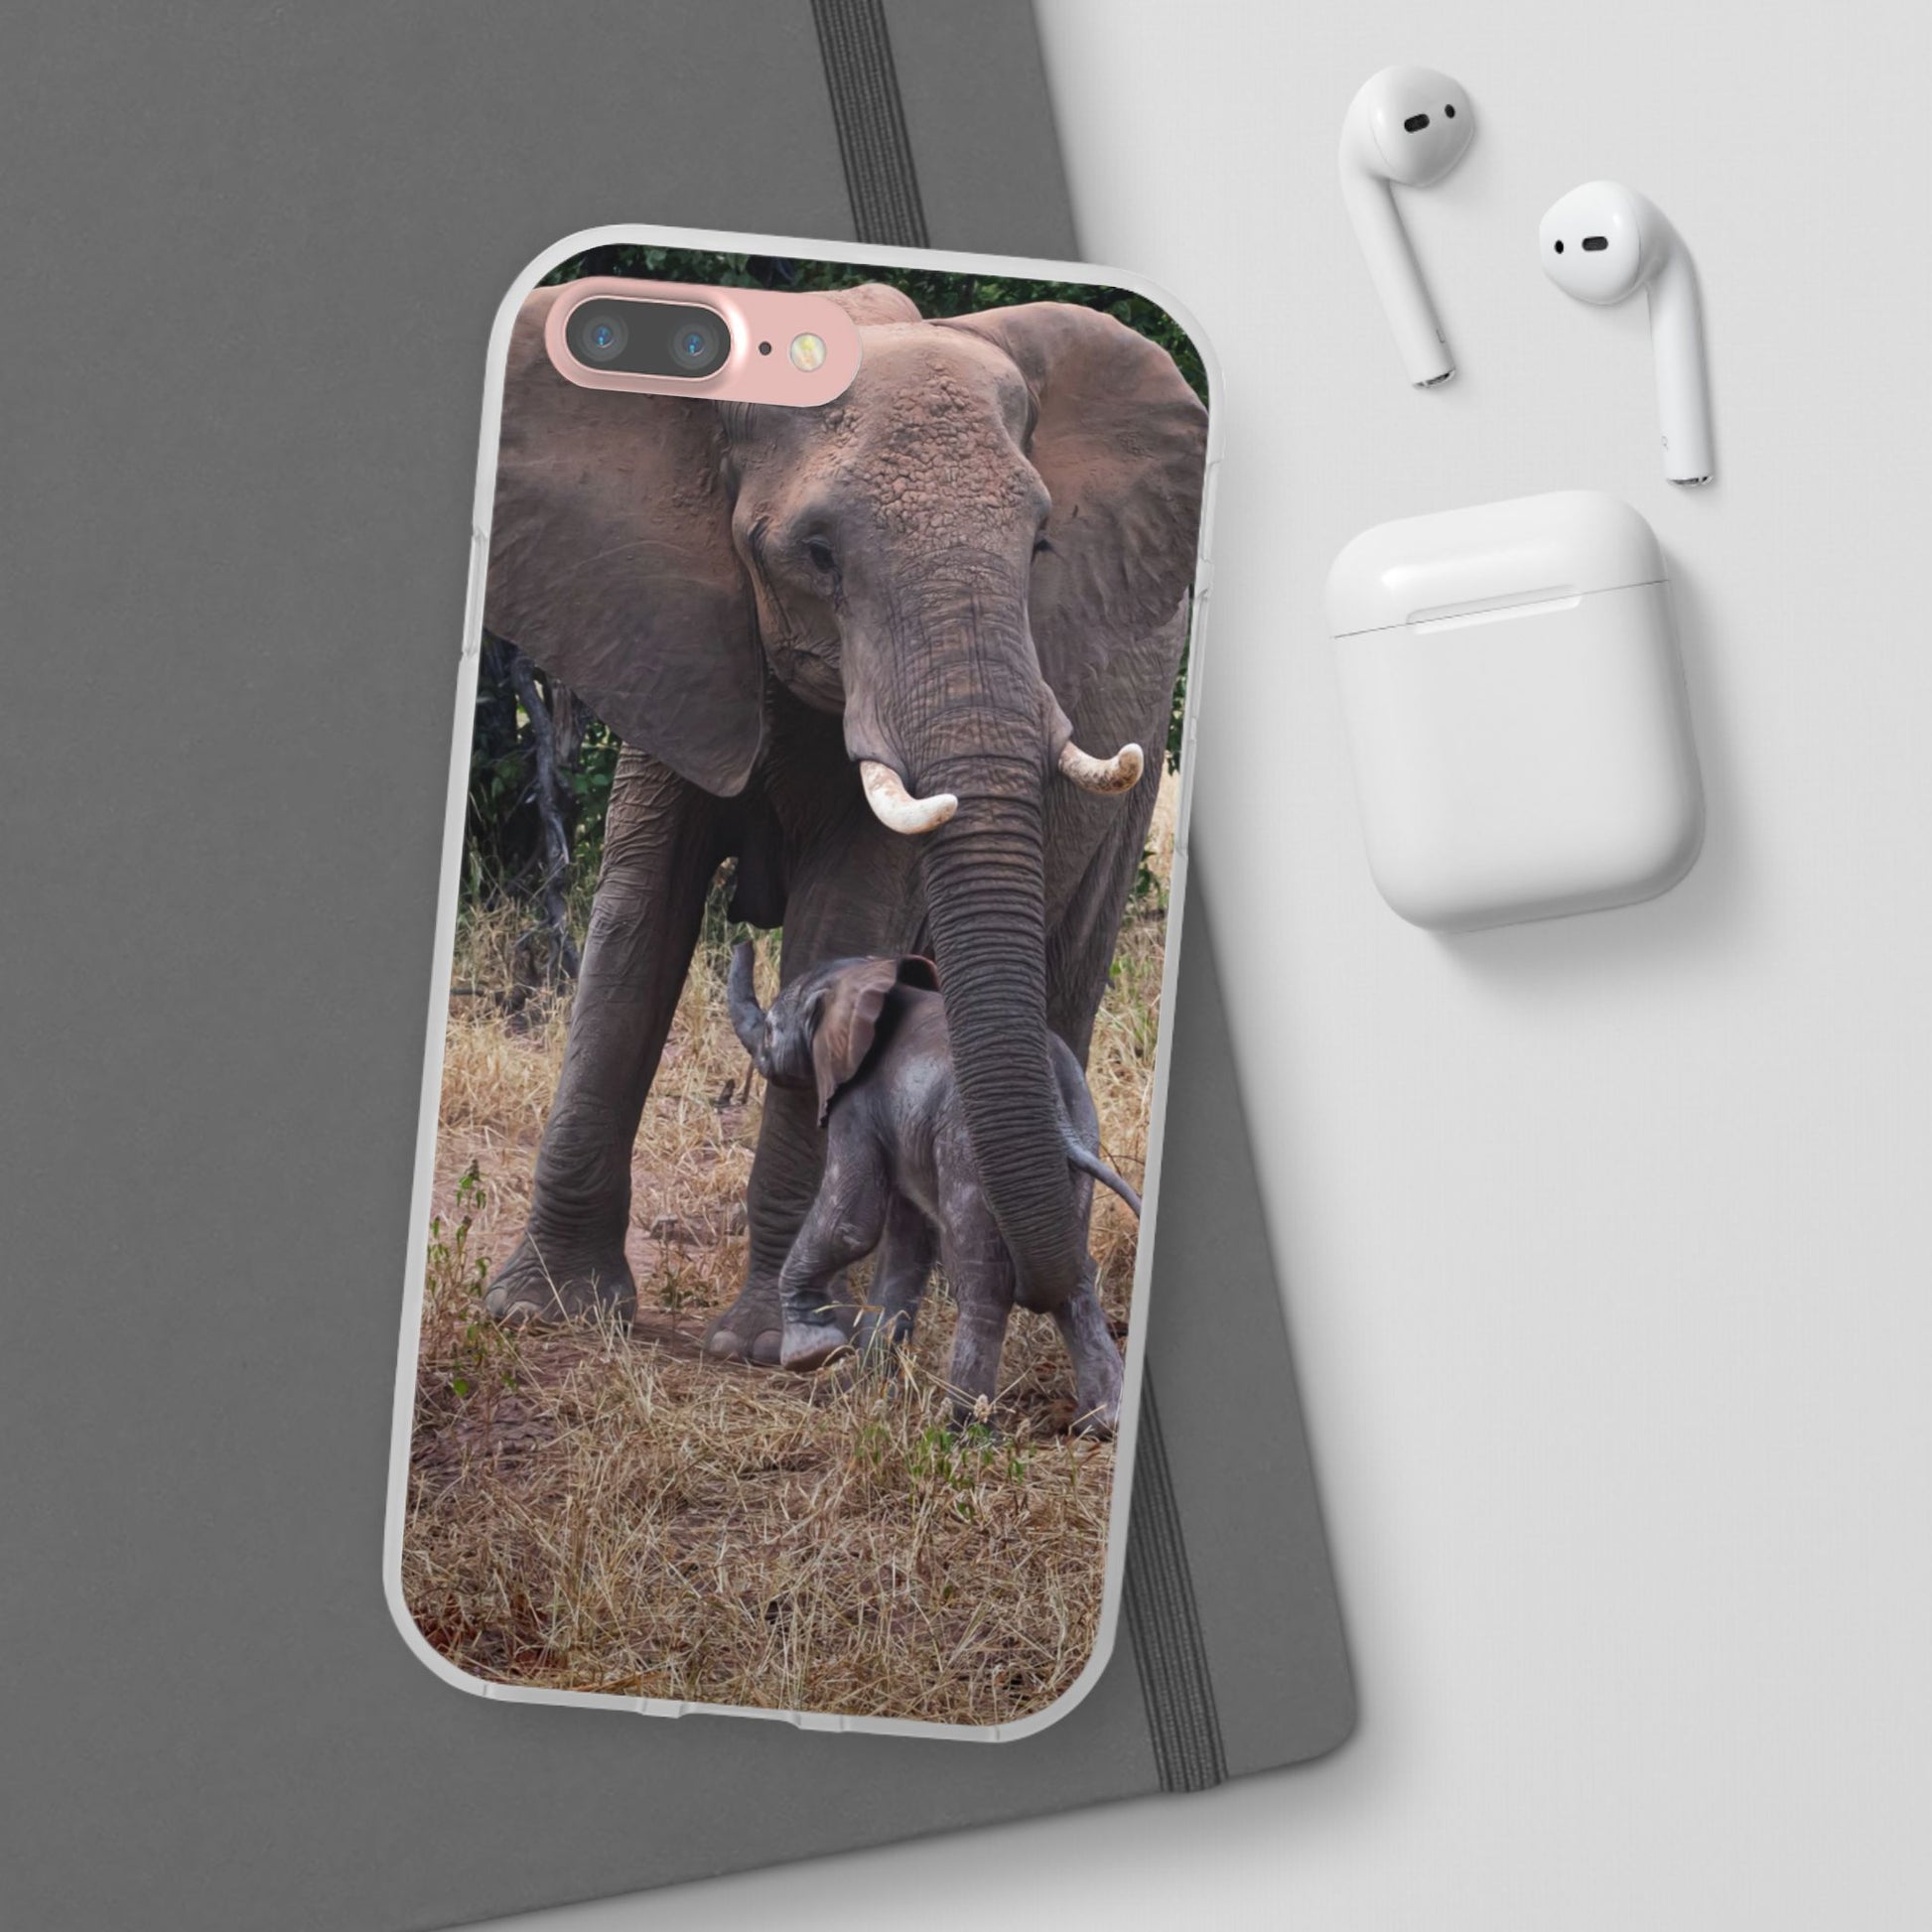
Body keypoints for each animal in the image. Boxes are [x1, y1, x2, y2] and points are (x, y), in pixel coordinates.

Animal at [477, 276, 1206, 1367]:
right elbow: (636, 921)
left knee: (1067, 972)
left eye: (1039, 546)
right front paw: (541, 1312)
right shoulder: (670, 636)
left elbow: (843, 918)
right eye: (814, 554)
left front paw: (775, 1344)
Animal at [725, 943, 1140, 1429]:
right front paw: (865, 1389)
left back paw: (963, 1423)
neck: (870, 979)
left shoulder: (857, 1103)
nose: (743, 943)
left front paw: (812, 1353)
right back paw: (1101, 1422)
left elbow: (850, 1224)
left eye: (772, 1030)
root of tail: (1053, 1098)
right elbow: (906, 1243)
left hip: (966, 1147)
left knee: (983, 1279)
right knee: (1075, 1275)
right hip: (1081, 1133)